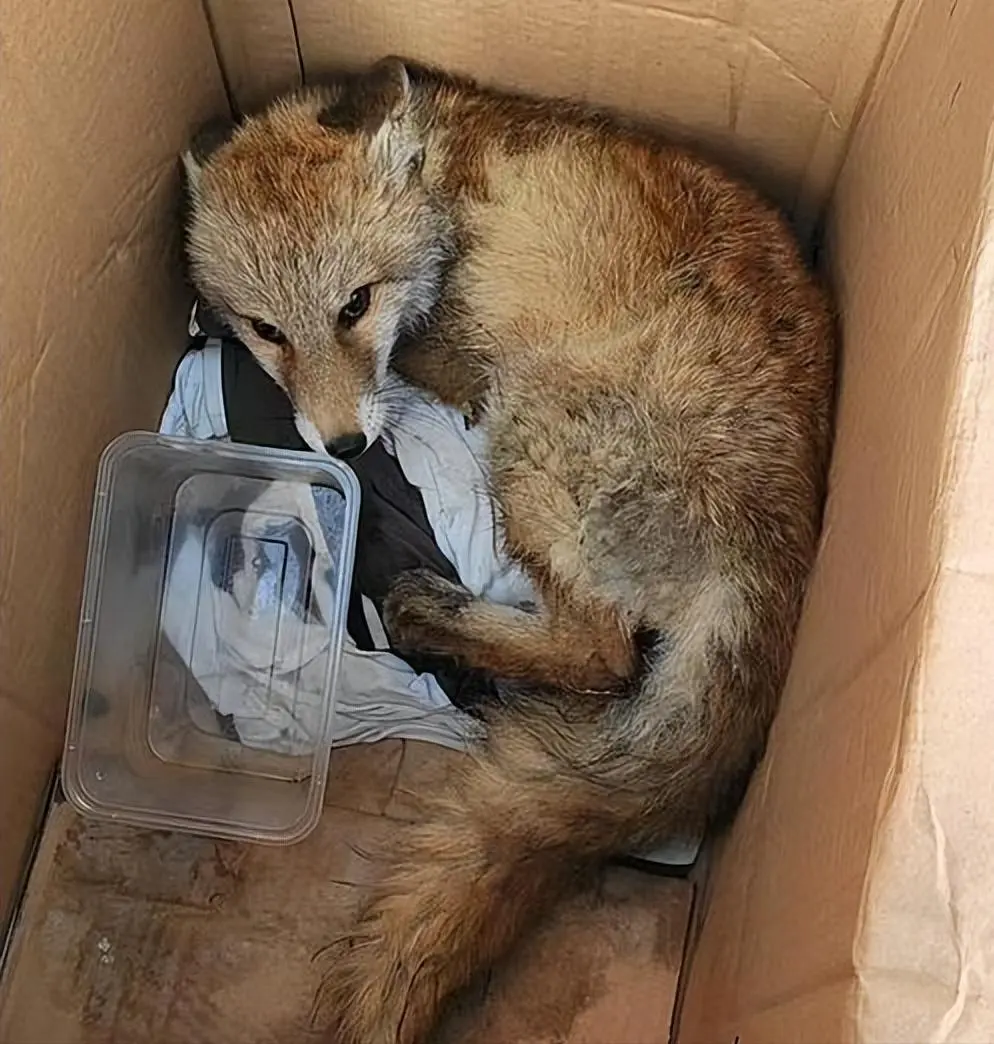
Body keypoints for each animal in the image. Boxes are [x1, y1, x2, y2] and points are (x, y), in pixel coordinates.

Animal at [181, 56, 835, 1044]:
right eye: (268, 330)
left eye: (354, 305)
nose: (343, 447)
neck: (443, 179)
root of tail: (785, 559)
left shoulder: (453, 362)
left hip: (527, 425)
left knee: (602, 656)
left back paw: (435, 616)